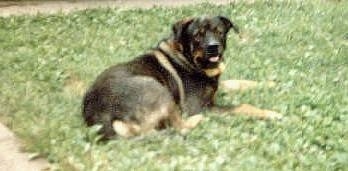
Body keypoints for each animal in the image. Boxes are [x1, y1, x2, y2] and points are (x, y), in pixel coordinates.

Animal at [81, 15, 280, 139]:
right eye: (198, 35)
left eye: (219, 31)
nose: (213, 47)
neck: (188, 59)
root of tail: (98, 116)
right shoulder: (198, 106)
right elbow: (242, 106)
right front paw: (270, 113)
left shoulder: (217, 86)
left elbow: (239, 82)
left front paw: (270, 83)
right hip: (157, 89)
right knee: (180, 127)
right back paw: (198, 121)